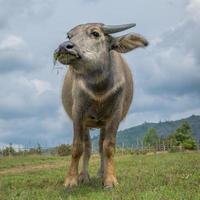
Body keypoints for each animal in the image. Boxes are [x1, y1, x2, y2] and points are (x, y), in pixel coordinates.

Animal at [54, 22, 148, 188]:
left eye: (95, 33)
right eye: (69, 35)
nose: (64, 47)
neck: (99, 88)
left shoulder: (115, 115)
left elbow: (108, 147)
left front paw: (110, 180)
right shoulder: (78, 113)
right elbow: (77, 147)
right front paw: (71, 180)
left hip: (103, 123)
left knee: (100, 145)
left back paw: (101, 173)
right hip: (86, 123)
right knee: (88, 147)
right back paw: (84, 176)